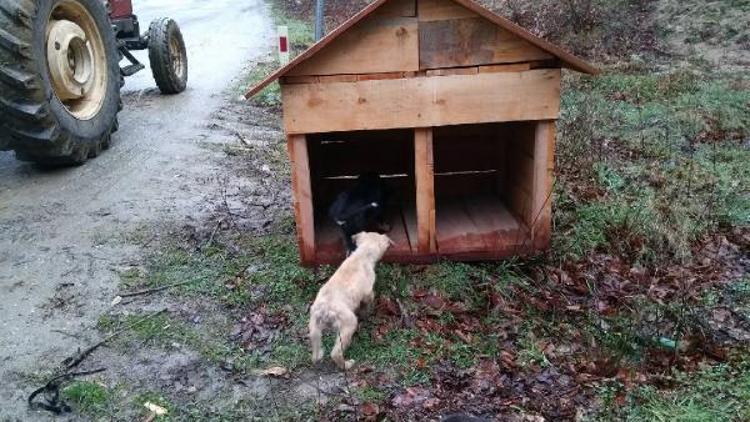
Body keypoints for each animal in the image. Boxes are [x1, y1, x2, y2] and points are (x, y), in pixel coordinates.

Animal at [310, 231, 394, 370]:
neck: (362, 255)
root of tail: (324, 309)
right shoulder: (368, 293)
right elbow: (367, 304)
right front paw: (367, 313)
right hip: (349, 324)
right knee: (336, 353)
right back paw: (346, 364)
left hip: (314, 328)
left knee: (316, 352)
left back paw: (318, 356)